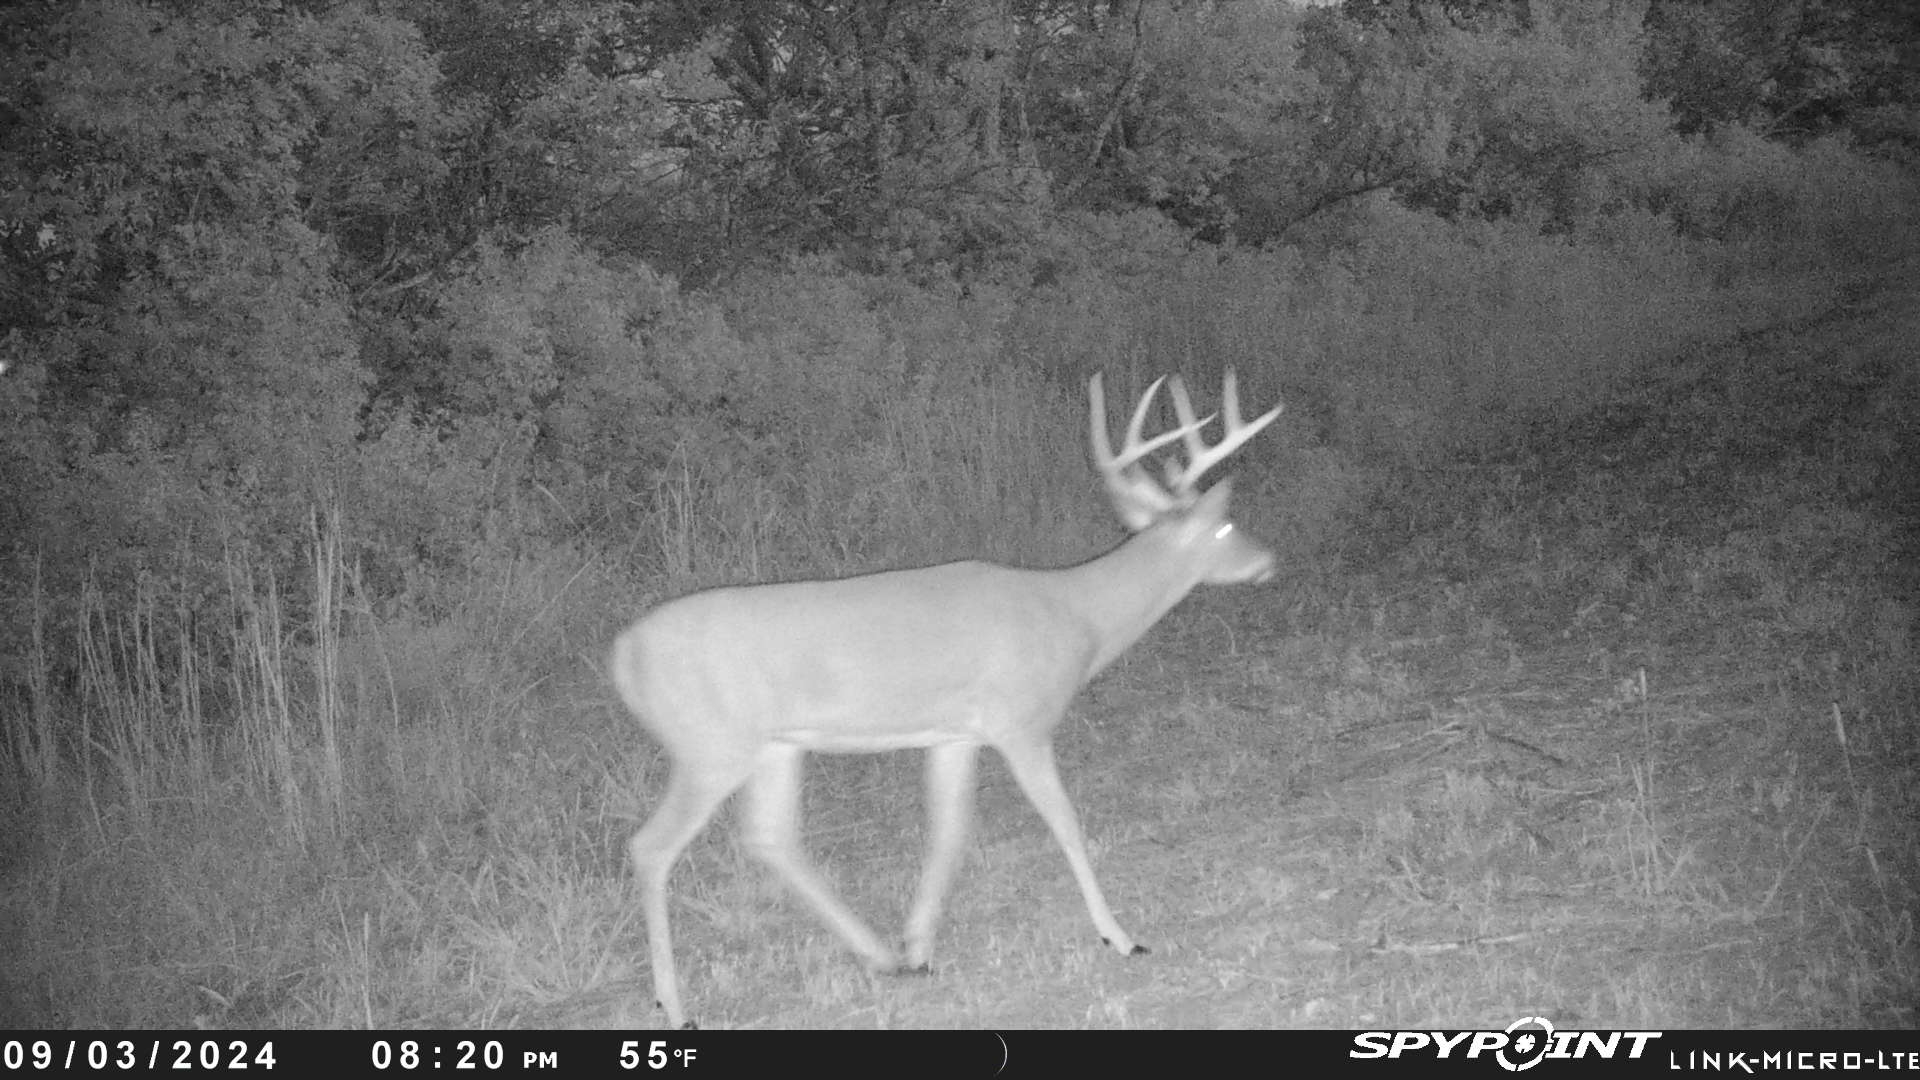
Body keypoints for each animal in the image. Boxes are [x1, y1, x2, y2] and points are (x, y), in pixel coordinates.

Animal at [610, 370, 1283, 1028]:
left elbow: (949, 832)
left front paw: (919, 945)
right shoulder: (1022, 720)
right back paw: (674, 1005)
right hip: (710, 747)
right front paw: (1120, 936)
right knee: (651, 846)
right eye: (1225, 526)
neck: (1077, 620)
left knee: (769, 838)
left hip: (774, 747)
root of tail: (621, 655)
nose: (1269, 560)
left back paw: (882, 957)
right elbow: (1065, 821)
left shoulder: (955, 735)